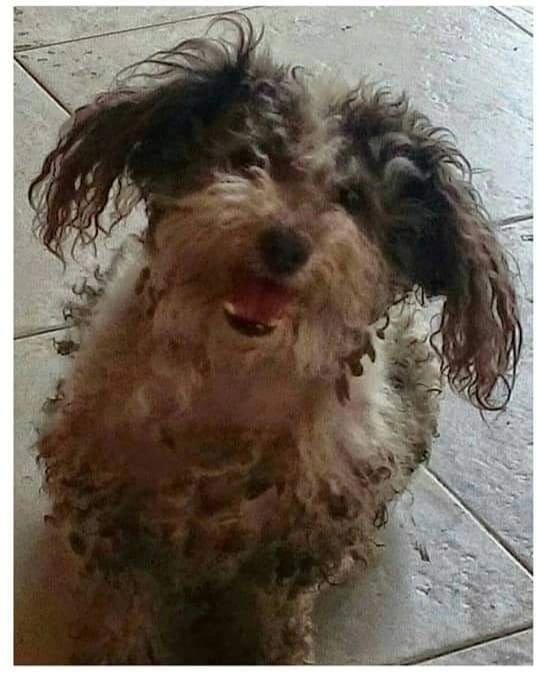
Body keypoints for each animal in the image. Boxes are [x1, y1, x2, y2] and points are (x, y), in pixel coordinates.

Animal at [28, 14, 521, 664]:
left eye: (353, 199)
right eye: (246, 158)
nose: (285, 244)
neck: (234, 380)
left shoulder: (304, 530)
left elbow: (278, 613)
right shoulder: (110, 498)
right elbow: (126, 607)